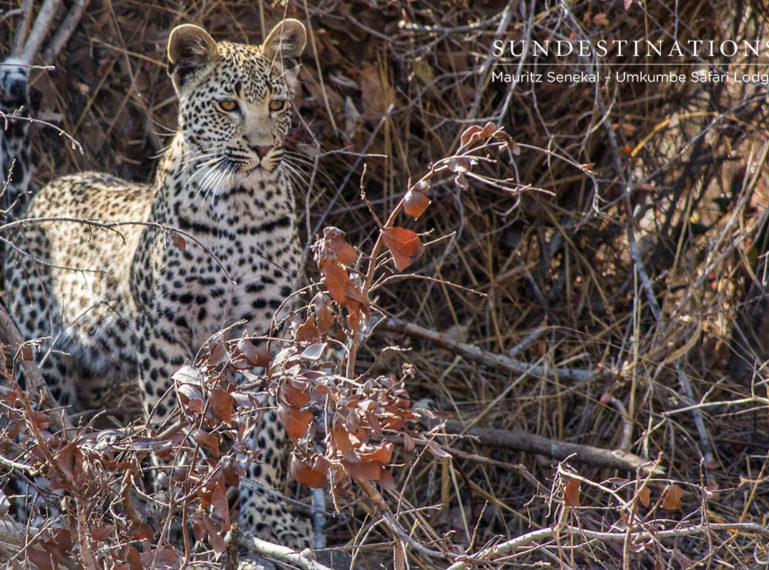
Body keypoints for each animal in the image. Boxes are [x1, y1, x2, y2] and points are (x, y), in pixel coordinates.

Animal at [3, 20, 312, 548]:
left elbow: (268, 431)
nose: (262, 148)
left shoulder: (269, 330)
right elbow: (171, 427)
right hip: (39, 358)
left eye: (277, 103)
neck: (241, 205)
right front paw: (180, 506)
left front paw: (267, 513)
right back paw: (40, 510)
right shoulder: (165, 328)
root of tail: (35, 199)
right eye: (227, 104)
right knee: (37, 430)